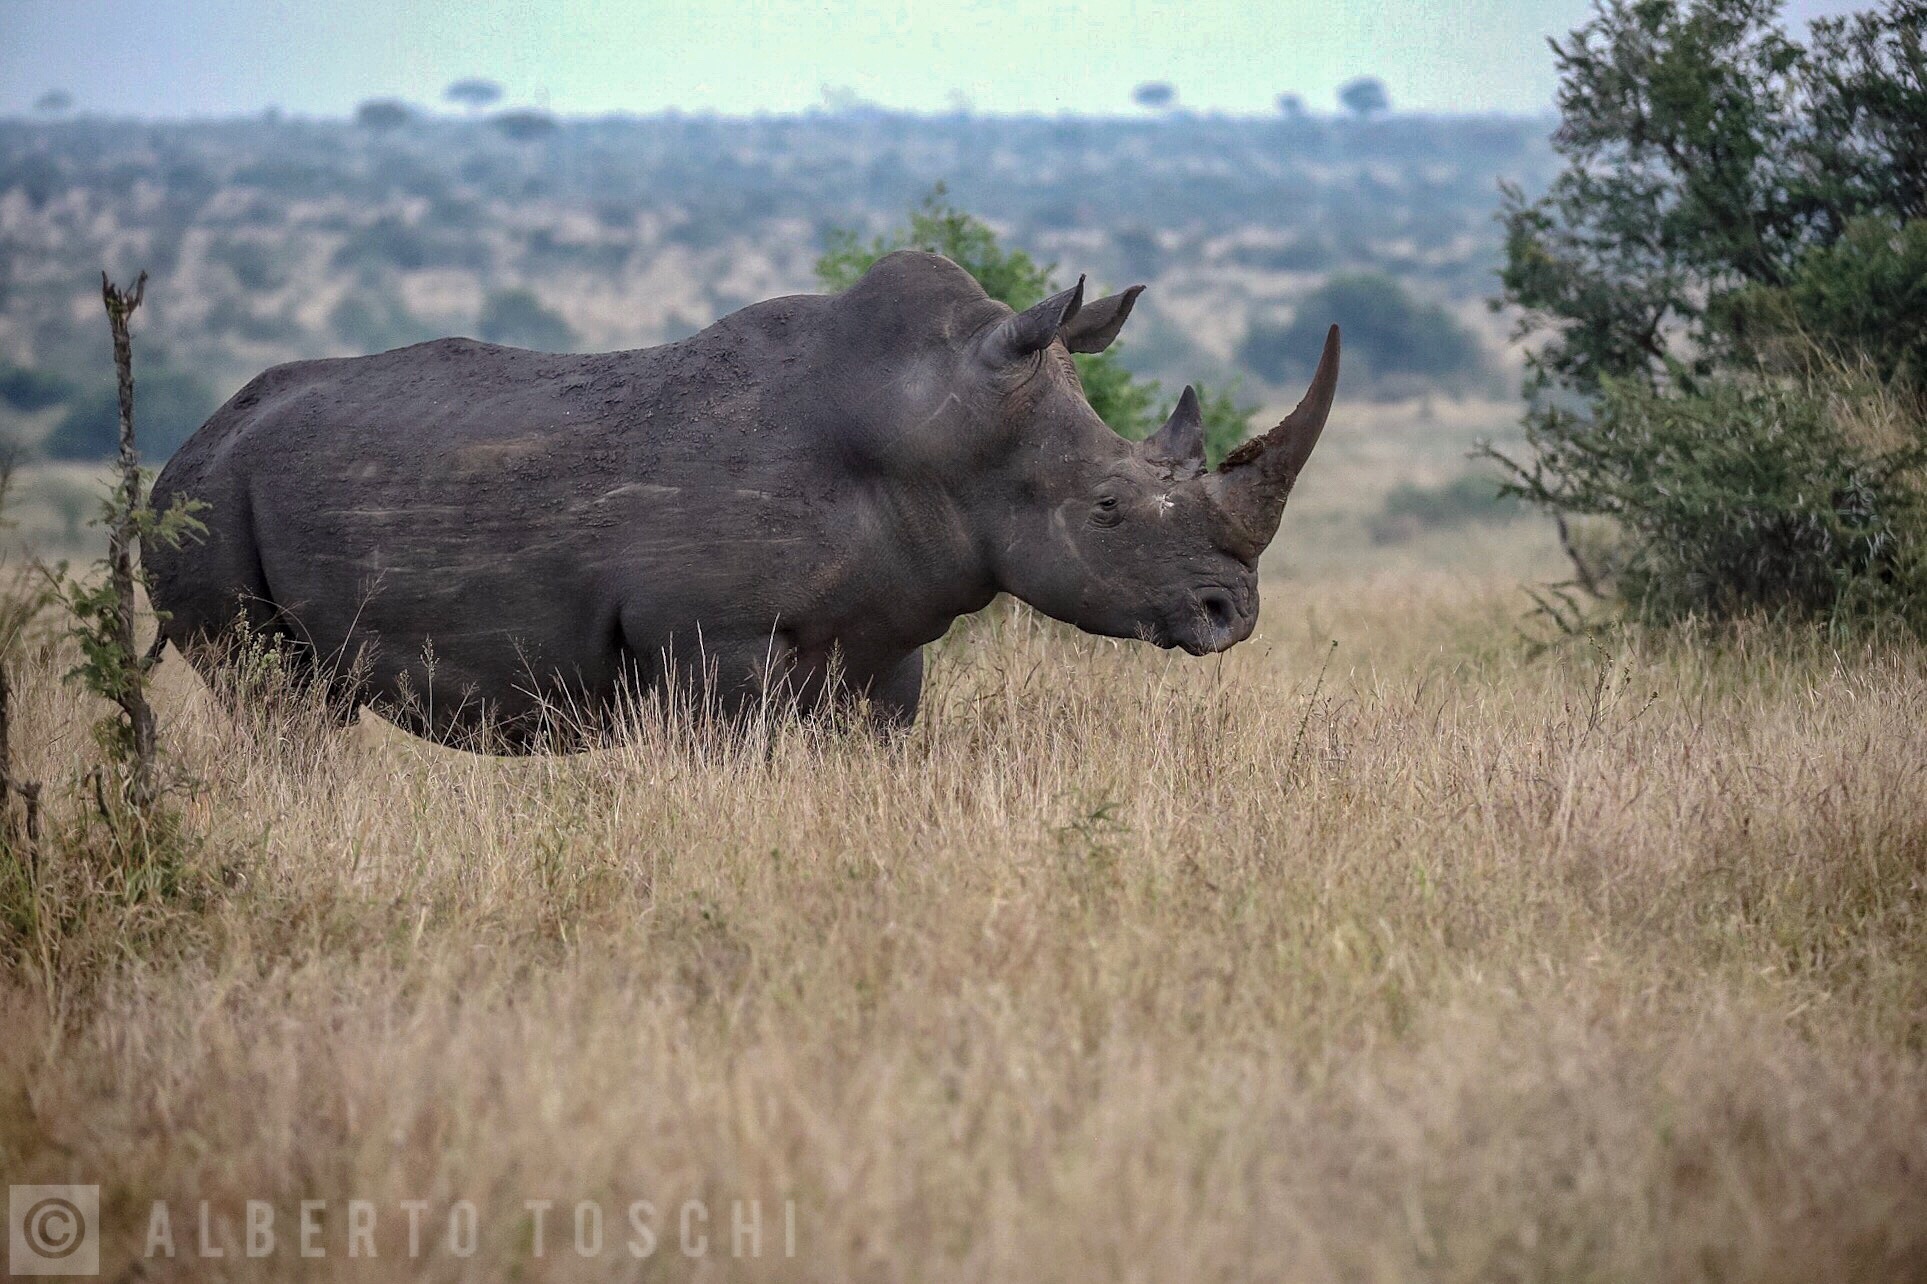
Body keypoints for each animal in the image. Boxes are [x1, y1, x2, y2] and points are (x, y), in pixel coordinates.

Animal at [148, 251, 1339, 747]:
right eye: (1104, 511)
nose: (1232, 615)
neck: (936, 427)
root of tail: (186, 445)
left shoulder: (885, 647)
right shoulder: (710, 642)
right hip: (208, 502)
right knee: (276, 705)